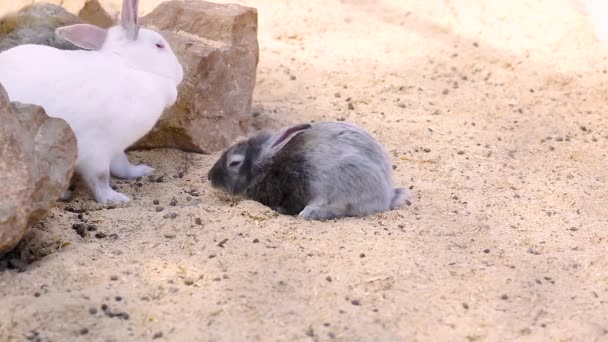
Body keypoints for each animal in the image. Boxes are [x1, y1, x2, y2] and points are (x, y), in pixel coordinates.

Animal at [0, 0, 183, 203]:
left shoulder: (115, 147)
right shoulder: (96, 152)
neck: (129, 65)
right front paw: (116, 198)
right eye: (159, 45)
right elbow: (101, 178)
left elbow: (123, 166)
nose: (180, 73)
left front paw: (143, 170)